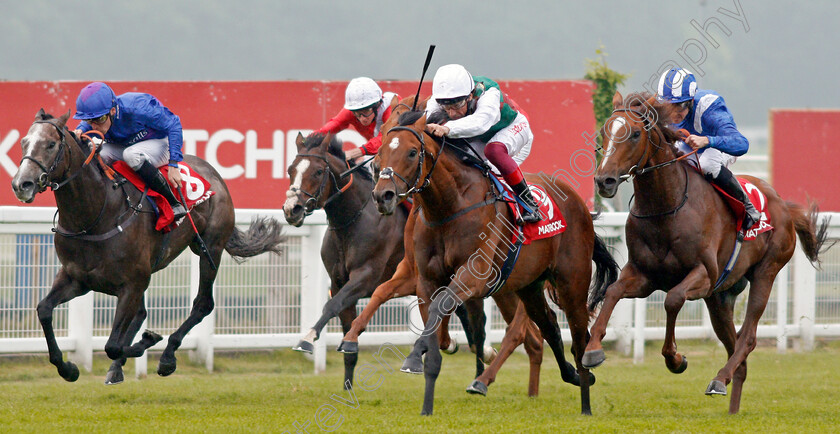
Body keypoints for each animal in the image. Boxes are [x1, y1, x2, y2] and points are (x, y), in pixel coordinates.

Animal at [10, 110, 286, 384]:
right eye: (24, 142)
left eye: (50, 144)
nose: (22, 184)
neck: (94, 217)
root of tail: (214, 175)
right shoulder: (76, 278)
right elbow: (44, 310)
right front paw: (68, 368)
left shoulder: (131, 284)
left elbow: (113, 345)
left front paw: (149, 340)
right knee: (143, 313)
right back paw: (118, 368)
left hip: (210, 249)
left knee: (203, 304)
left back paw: (167, 356)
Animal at [354, 110, 616, 416]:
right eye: (380, 152)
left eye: (411, 152)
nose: (382, 196)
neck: (449, 207)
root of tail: (578, 202)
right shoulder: (425, 279)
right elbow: (433, 323)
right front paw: (426, 364)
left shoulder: (474, 276)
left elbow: (441, 308)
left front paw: (418, 356)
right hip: (528, 285)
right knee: (549, 325)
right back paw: (571, 375)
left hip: (572, 282)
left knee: (576, 335)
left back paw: (585, 397)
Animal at [584, 92, 832, 414]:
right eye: (605, 131)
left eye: (636, 133)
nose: (605, 180)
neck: (667, 206)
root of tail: (783, 205)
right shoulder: (642, 275)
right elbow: (613, 292)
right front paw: (592, 350)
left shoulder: (703, 275)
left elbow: (673, 300)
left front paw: (676, 359)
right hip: (720, 297)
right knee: (736, 349)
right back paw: (731, 403)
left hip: (766, 272)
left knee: (747, 338)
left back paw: (718, 379)